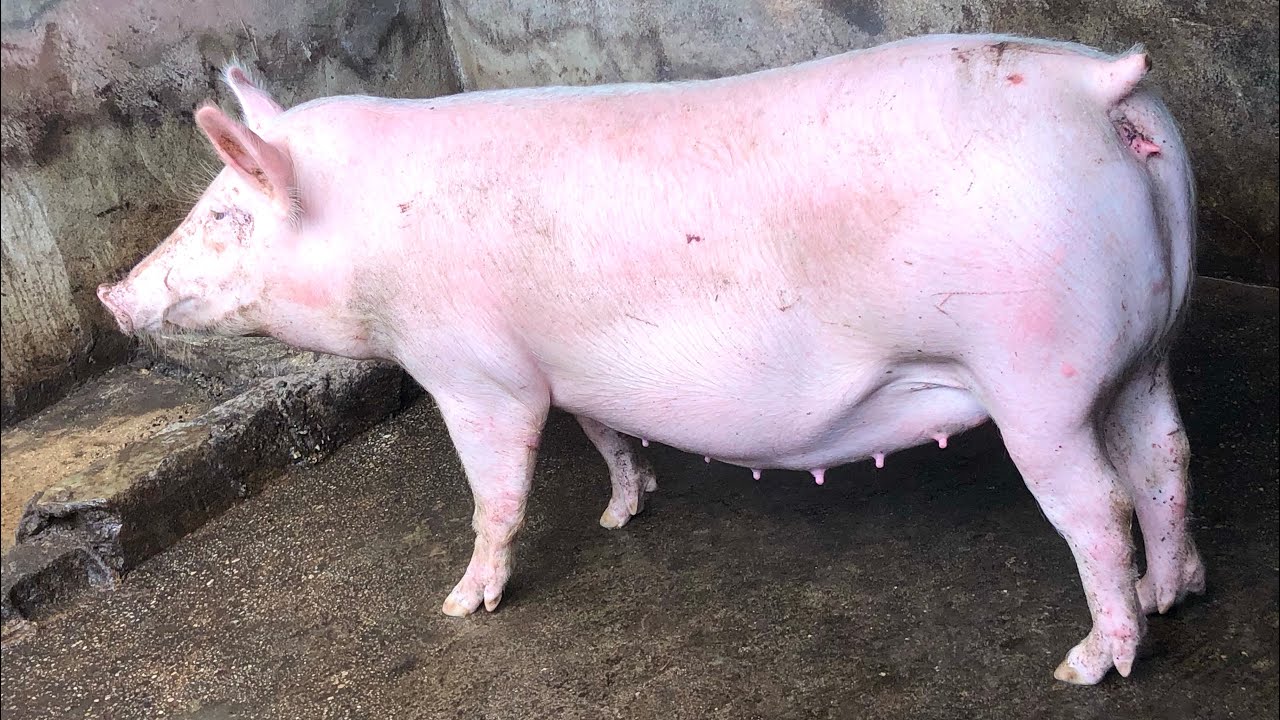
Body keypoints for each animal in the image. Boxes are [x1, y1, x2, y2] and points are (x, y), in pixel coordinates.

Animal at [97, 33, 1204, 684]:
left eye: (229, 214)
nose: (111, 294)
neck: (367, 235)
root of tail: (1099, 85)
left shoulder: (476, 371)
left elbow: (496, 489)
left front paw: (460, 603)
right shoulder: (567, 365)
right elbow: (602, 432)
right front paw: (620, 513)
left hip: (1035, 377)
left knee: (1097, 505)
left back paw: (1089, 663)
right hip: (1142, 348)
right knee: (1165, 459)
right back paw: (1173, 593)